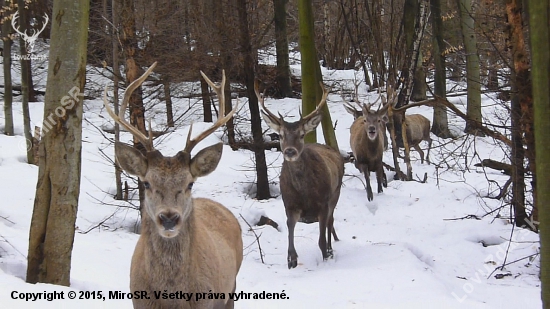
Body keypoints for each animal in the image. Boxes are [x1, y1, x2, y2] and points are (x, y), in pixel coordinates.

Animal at [256, 81, 342, 268]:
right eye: (280, 135)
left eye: (302, 135)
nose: (290, 151)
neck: (304, 192)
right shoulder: (289, 205)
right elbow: (290, 242)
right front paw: (292, 262)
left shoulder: (323, 203)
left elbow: (321, 241)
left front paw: (326, 258)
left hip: (336, 193)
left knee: (331, 222)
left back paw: (332, 249)